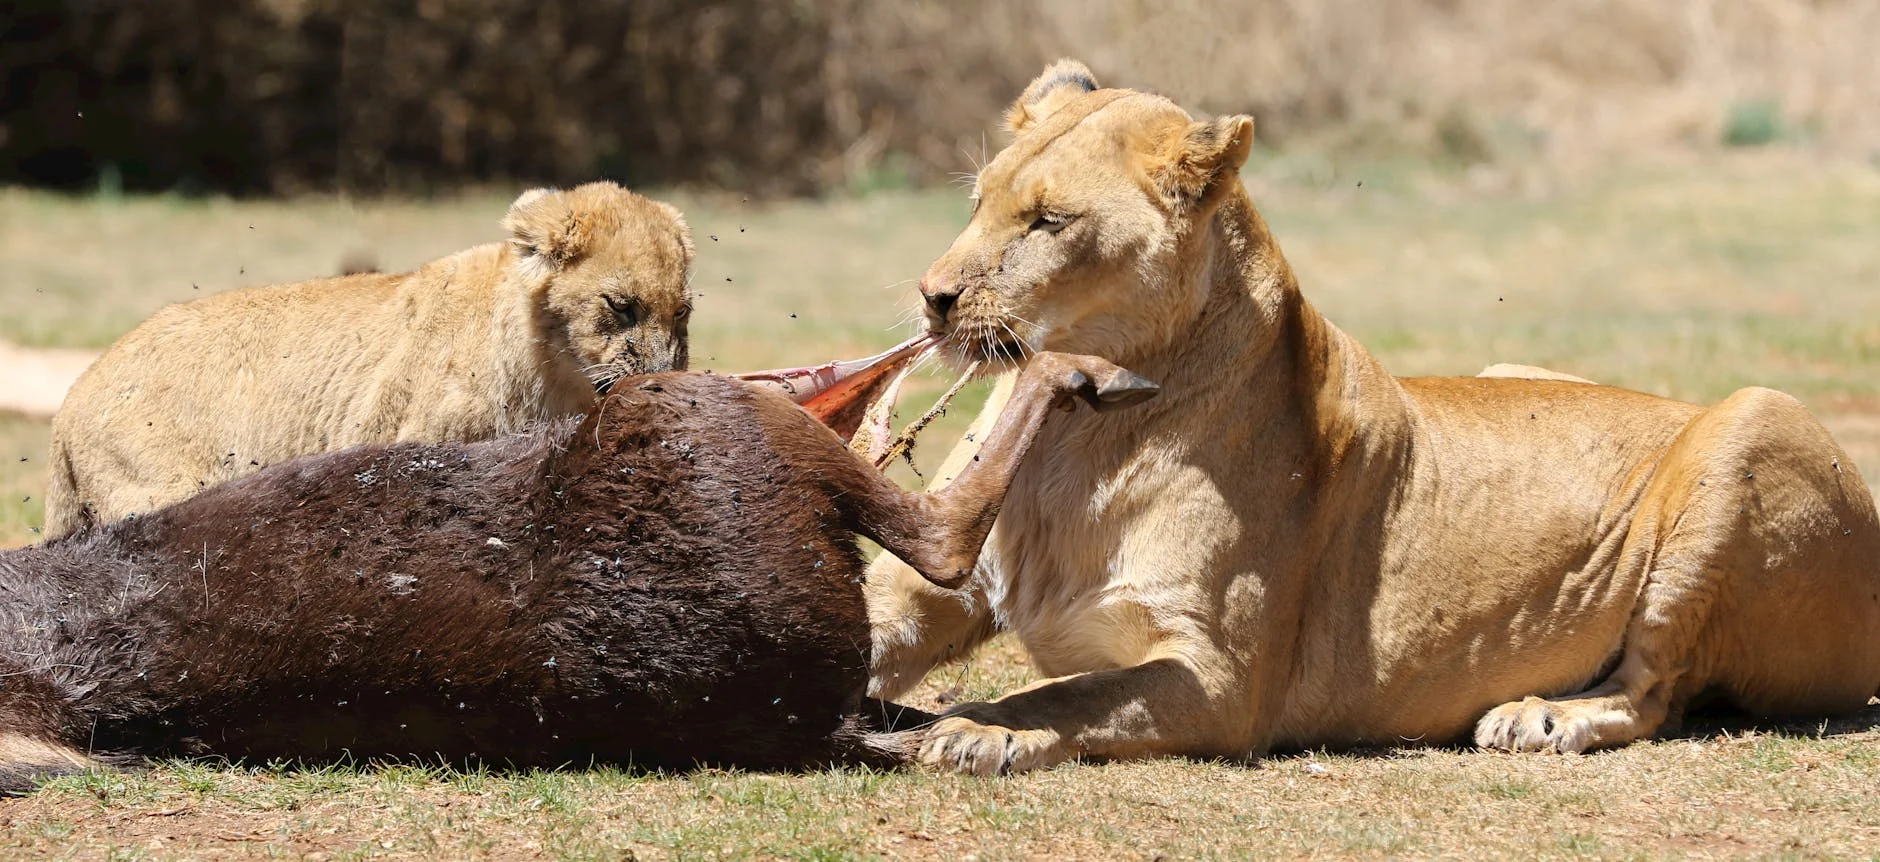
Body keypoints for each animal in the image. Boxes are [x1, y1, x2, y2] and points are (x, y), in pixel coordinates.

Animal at [45, 181, 694, 538]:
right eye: (622, 306)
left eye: (682, 314)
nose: (665, 382)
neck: (551, 374)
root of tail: (71, 399)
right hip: (159, 485)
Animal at [867, 60, 1880, 774]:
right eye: (978, 202)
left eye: (1048, 223)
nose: (932, 298)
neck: (1077, 433)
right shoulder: (932, 588)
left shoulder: (1225, 682)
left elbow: (1065, 699)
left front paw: (976, 729)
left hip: (1754, 422)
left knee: (1655, 691)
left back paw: (1544, 716)